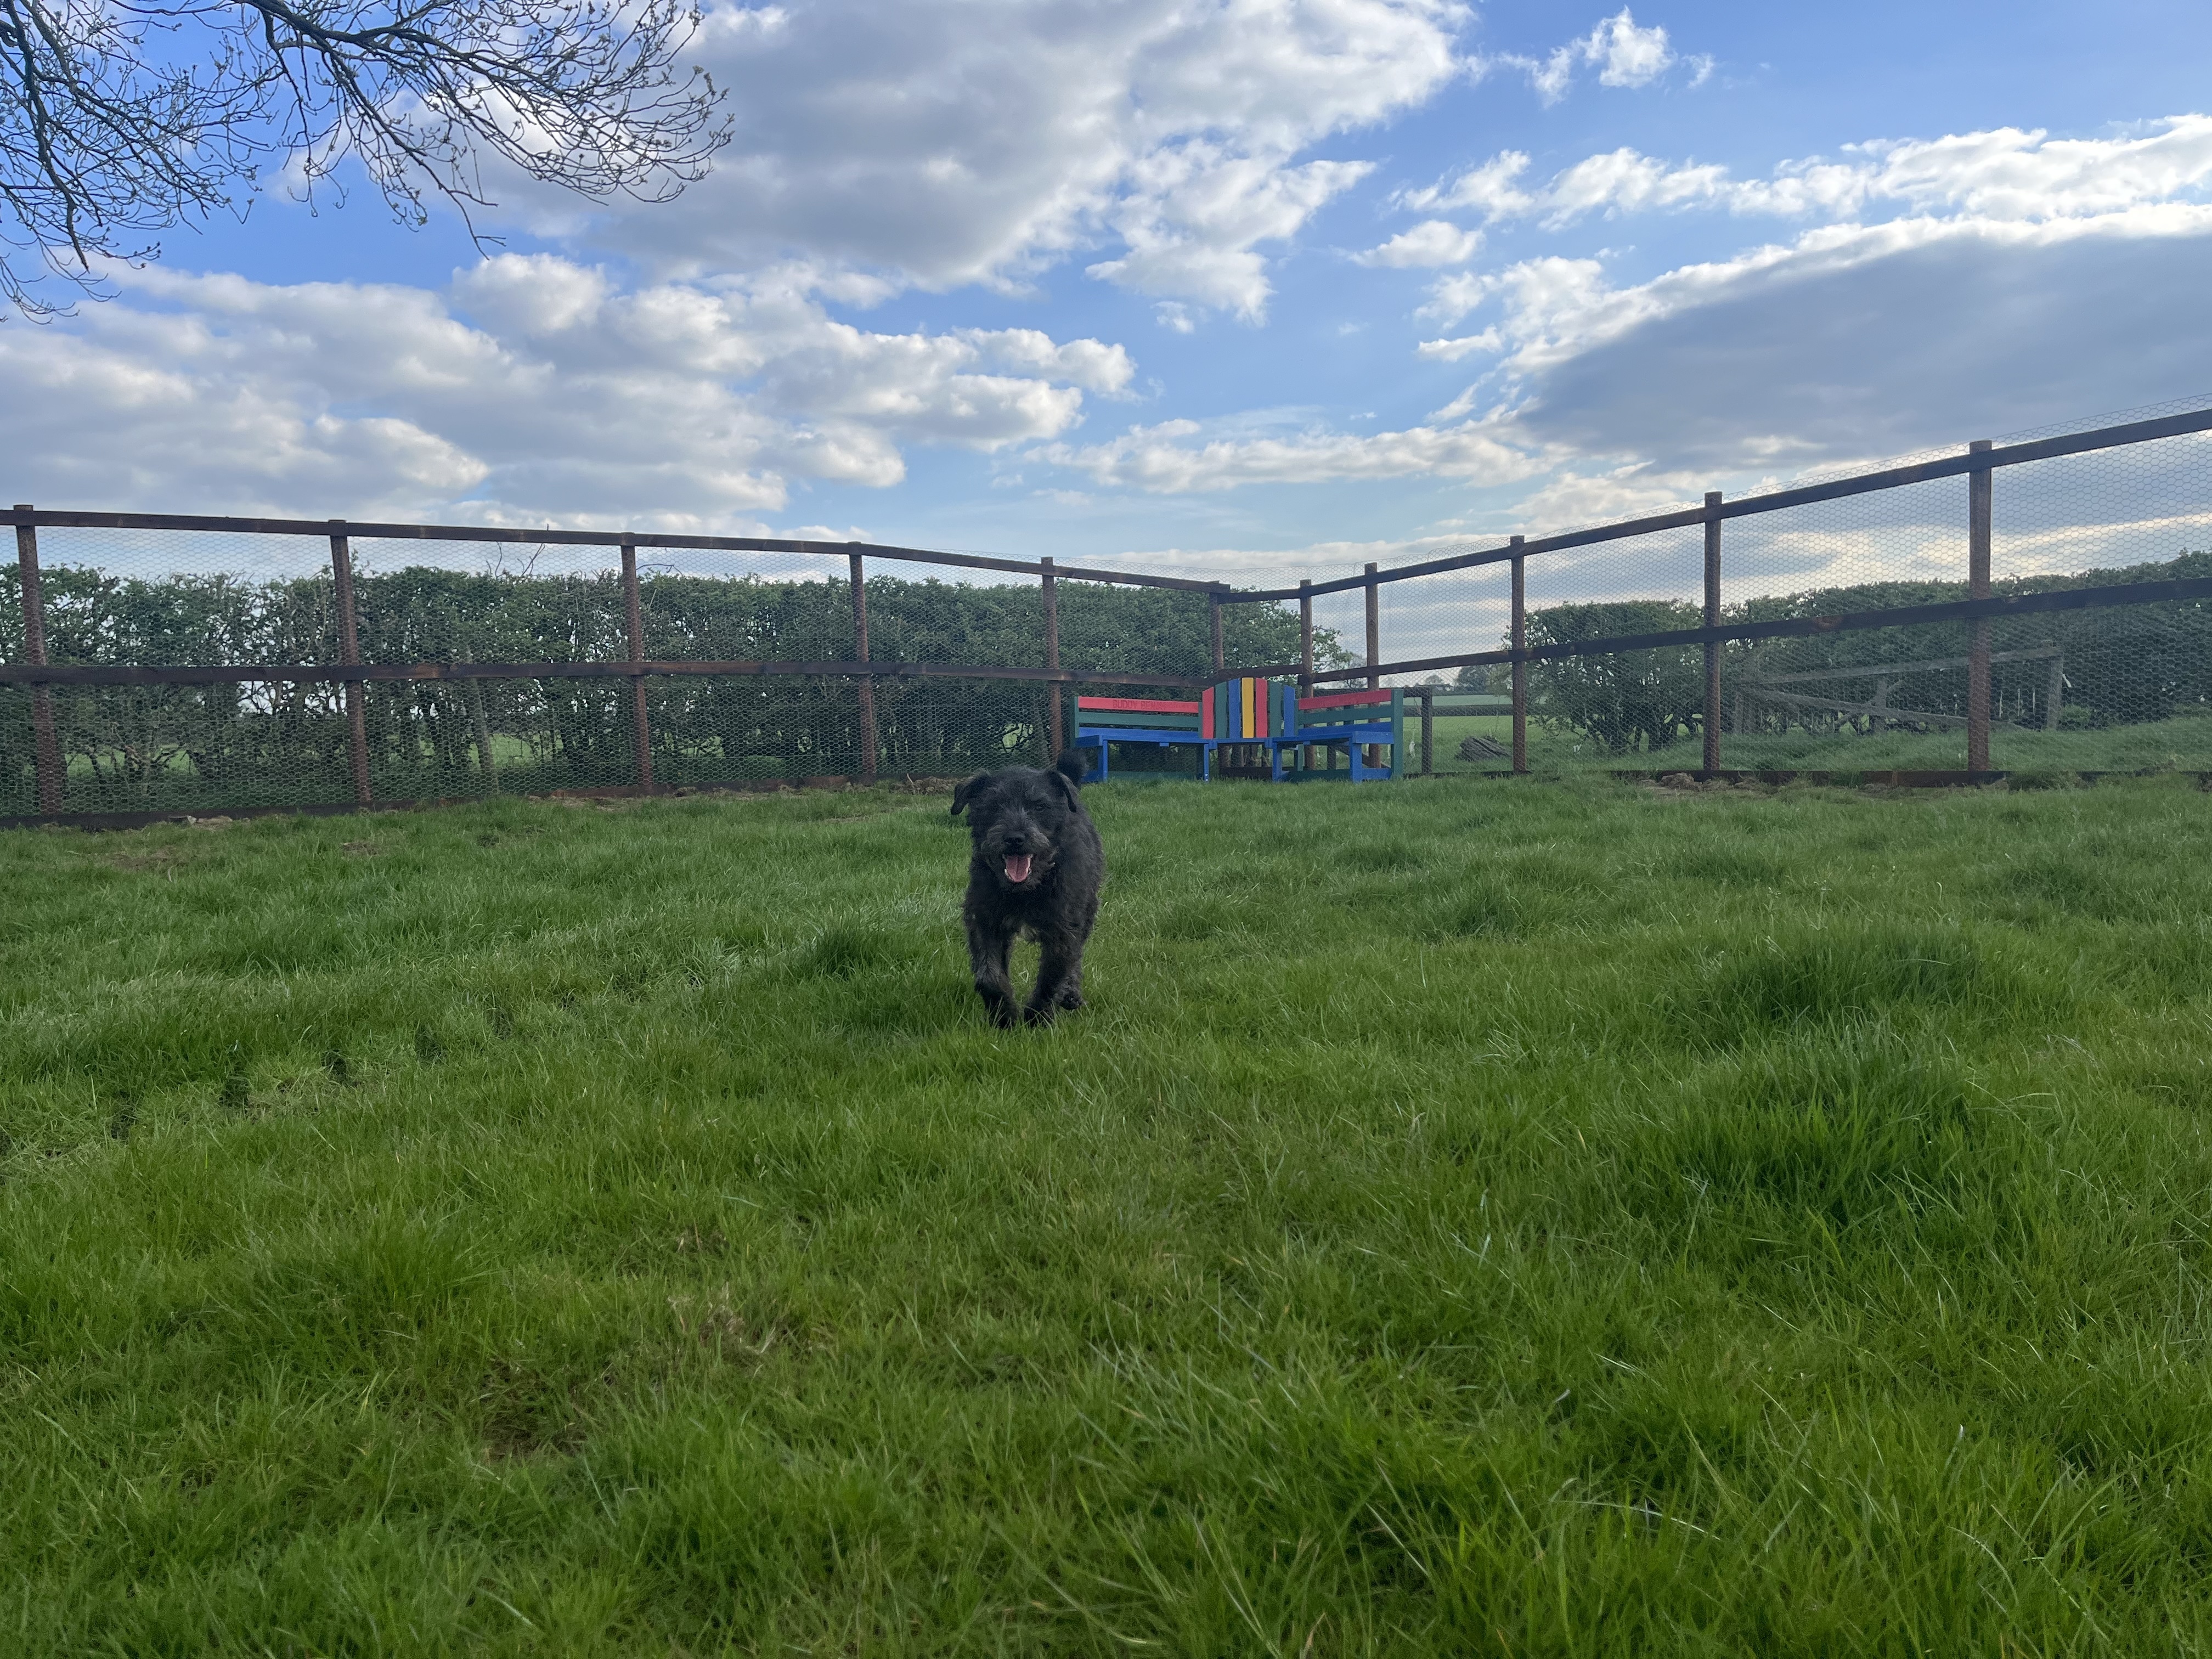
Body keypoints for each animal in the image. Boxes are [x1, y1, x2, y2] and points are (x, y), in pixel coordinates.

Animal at [951, 752, 1106, 1026]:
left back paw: (1071, 994)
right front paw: (1004, 1019)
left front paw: (1037, 1021)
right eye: (994, 806)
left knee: (1077, 957)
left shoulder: (1063, 930)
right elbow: (989, 976)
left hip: (1088, 911)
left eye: (1040, 806)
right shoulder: (985, 922)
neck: (1025, 890)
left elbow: (1052, 978)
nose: (1015, 838)